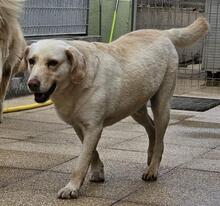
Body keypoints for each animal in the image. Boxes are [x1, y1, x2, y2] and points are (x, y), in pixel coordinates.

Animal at [19, 17, 209, 200]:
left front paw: (72, 188)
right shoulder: (79, 127)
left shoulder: (93, 127)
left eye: (53, 63)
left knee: (160, 135)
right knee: (152, 128)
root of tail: (162, 32)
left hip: (161, 105)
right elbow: (92, 154)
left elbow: (82, 161)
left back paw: (152, 169)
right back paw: (149, 155)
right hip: (136, 107)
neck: (74, 84)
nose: (32, 84)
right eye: (31, 61)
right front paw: (97, 172)